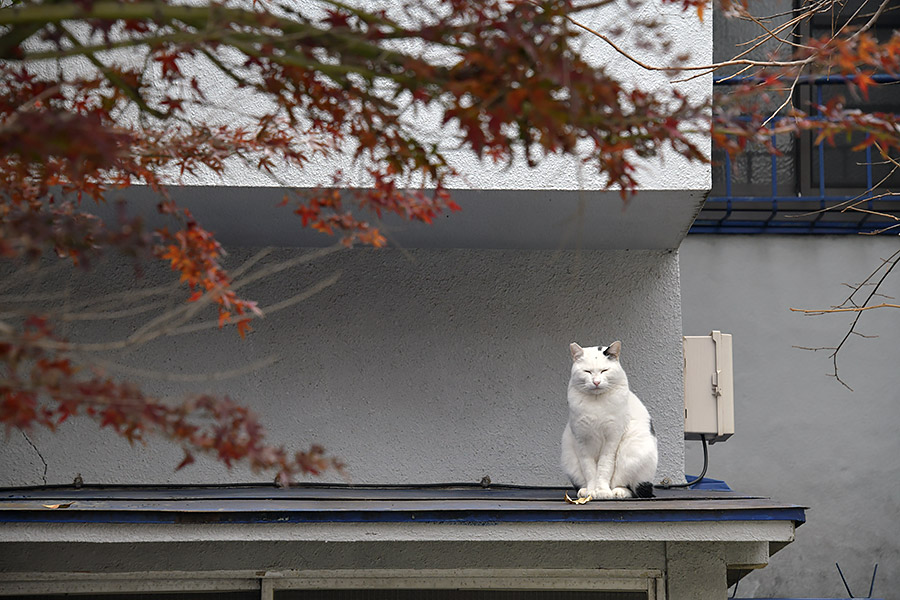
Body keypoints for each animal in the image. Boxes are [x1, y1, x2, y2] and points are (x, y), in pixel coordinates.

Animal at [560, 340, 656, 500]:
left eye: (604, 370)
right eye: (587, 371)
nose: (596, 382)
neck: (596, 404)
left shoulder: (612, 438)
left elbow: (605, 466)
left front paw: (602, 491)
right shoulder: (582, 439)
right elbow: (589, 468)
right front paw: (591, 491)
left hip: (634, 452)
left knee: (635, 489)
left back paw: (618, 492)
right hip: (569, 457)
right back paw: (584, 491)